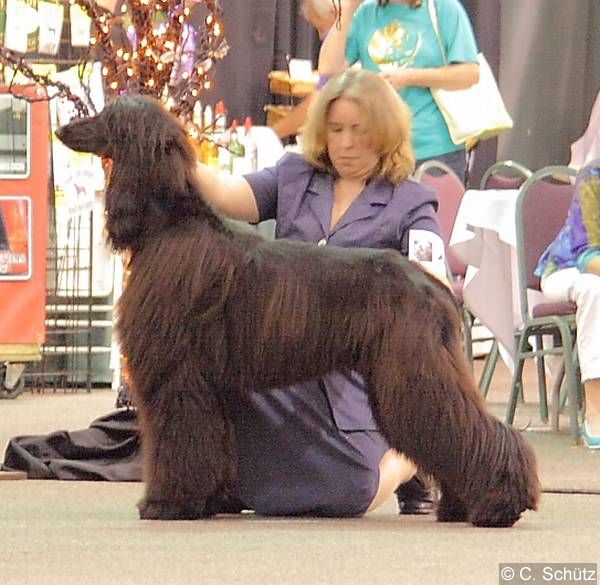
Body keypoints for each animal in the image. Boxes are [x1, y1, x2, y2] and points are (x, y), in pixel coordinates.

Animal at [56, 95, 540, 527]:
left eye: (107, 115)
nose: (62, 129)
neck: (171, 224)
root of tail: (436, 288)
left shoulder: (178, 373)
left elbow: (180, 440)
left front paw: (168, 503)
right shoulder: (204, 382)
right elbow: (208, 442)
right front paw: (208, 501)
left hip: (413, 371)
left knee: (467, 430)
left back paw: (498, 505)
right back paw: (461, 506)